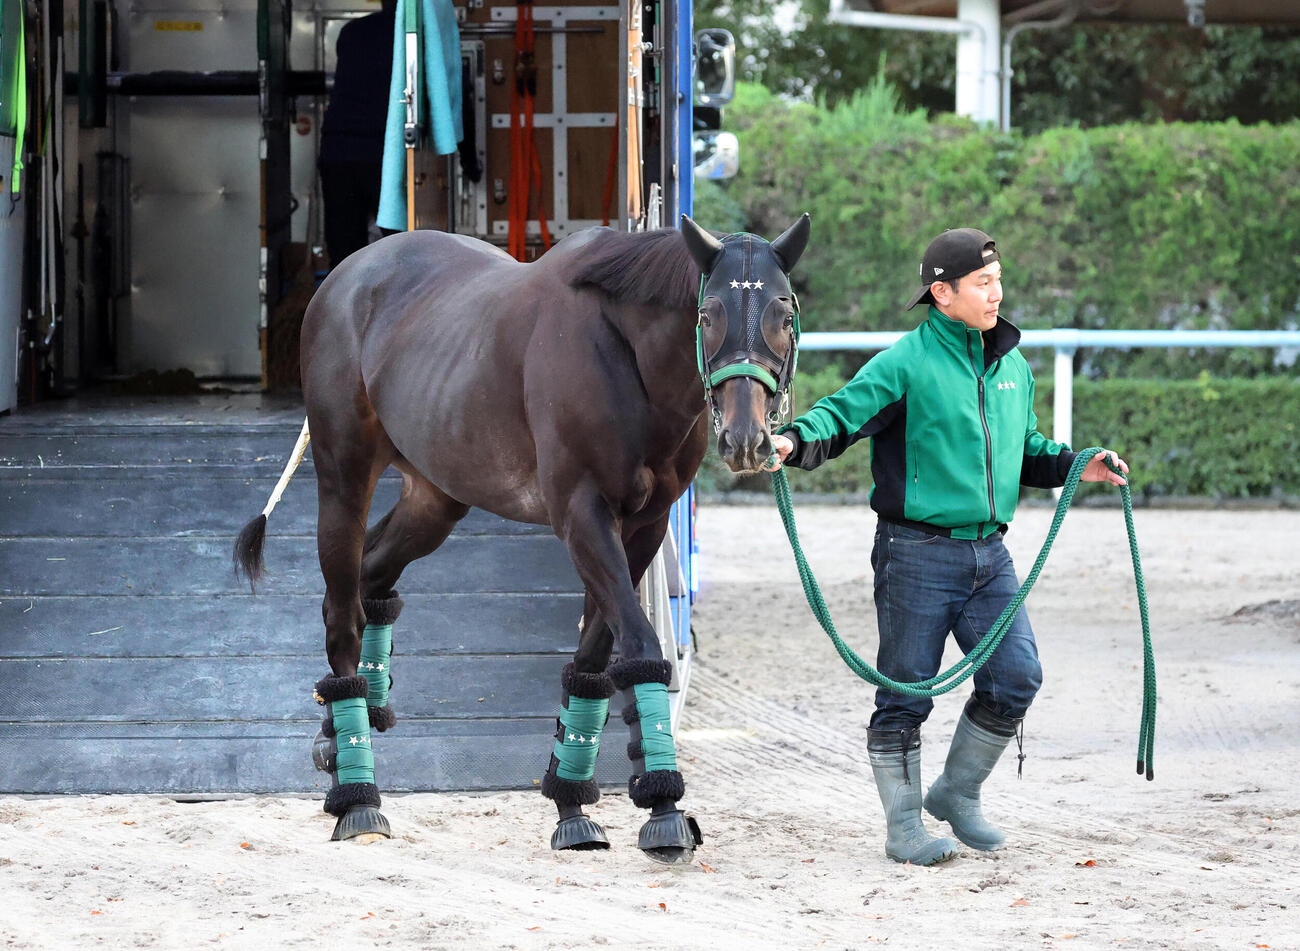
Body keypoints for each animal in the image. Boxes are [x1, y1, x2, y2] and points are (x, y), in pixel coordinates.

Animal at [234, 213, 810, 863]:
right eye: (707, 313)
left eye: (784, 314)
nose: (747, 439)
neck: (626, 356)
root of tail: (346, 276)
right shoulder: (582, 514)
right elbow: (639, 646)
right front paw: (663, 806)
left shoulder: (644, 525)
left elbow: (593, 658)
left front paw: (572, 805)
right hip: (343, 477)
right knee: (341, 608)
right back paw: (357, 795)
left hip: (435, 497)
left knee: (371, 577)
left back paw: (337, 735)